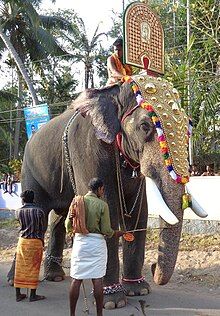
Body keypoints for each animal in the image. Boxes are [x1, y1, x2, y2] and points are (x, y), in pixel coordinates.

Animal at [7, 74, 205, 308]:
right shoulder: (86, 148)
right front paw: (112, 302)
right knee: (35, 211)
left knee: (58, 218)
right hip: (29, 170)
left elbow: (139, 213)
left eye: (188, 128)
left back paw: (55, 277)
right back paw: (14, 281)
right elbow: (106, 208)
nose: (154, 266)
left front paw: (138, 290)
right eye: (145, 126)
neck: (114, 92)